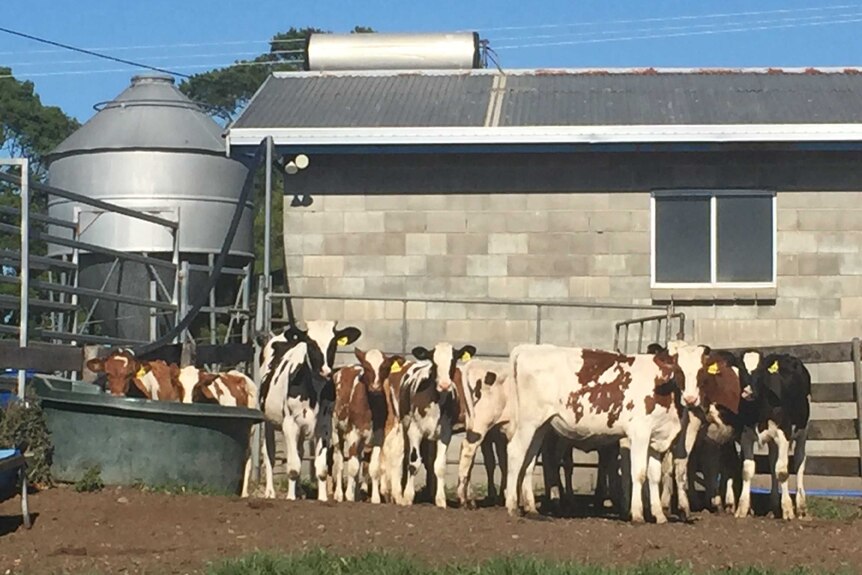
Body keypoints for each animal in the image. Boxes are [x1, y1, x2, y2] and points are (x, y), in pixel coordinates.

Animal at [258, 322, 362, 502]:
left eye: (333, 343)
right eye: (311, 344)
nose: (325, 371)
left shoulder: (325, 426)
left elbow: (321, 468)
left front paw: (322, 498)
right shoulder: (290, 425)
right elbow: (293, 467)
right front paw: (290, 497)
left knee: (299, 452)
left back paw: (300, 491)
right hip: (268, 422)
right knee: (269, 453)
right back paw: (270, 492)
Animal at [400, 342, 476, 508]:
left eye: (453, 361)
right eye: (434, 362)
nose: (445, 385)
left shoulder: (445, 434)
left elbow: (439, 466)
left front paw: (440, 500)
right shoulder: (414, 431)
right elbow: (413, 462)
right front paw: (408, 497)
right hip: (406, 426)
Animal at [502, 344, 684, 524]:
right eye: (679, 370)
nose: (689, 398)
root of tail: (528, 348)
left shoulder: (656, 437)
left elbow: (654, 475)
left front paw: (659, 515)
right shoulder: (639, 434)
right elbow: (638, 474)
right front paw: (637, 515)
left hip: (540, 427)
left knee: (530, 459)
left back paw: (532, 509)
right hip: (528, 422)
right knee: (515, 452)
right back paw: (512, 506)